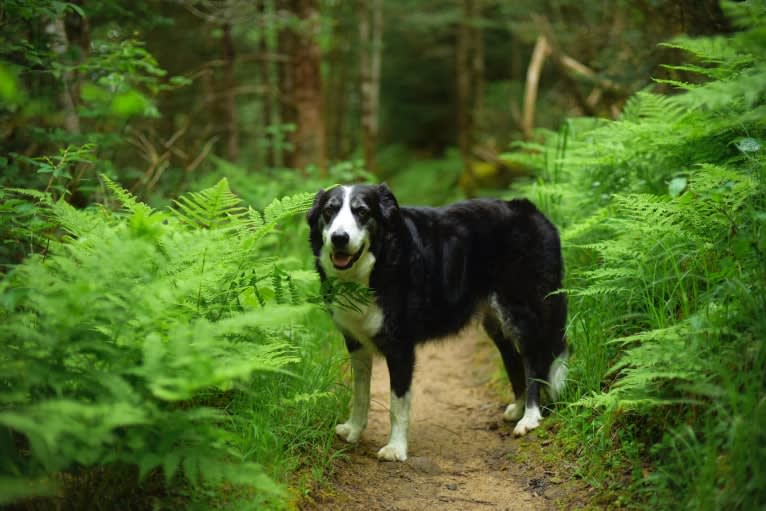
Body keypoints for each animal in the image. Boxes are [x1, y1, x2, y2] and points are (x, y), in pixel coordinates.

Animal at [308, 185, 568, 464]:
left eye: (362, 212)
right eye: (330, 211)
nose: (339, 238)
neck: (379, 261)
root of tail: (533, 211)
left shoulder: (400, 346)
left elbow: (397, 405)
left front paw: (396, 448)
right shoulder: (355, 342)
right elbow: (359, 393)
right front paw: (354, 430)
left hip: (521, 312)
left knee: (534, 361)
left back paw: (530, 417)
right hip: (497, 323)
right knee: (514, 360)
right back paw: (518, 408)